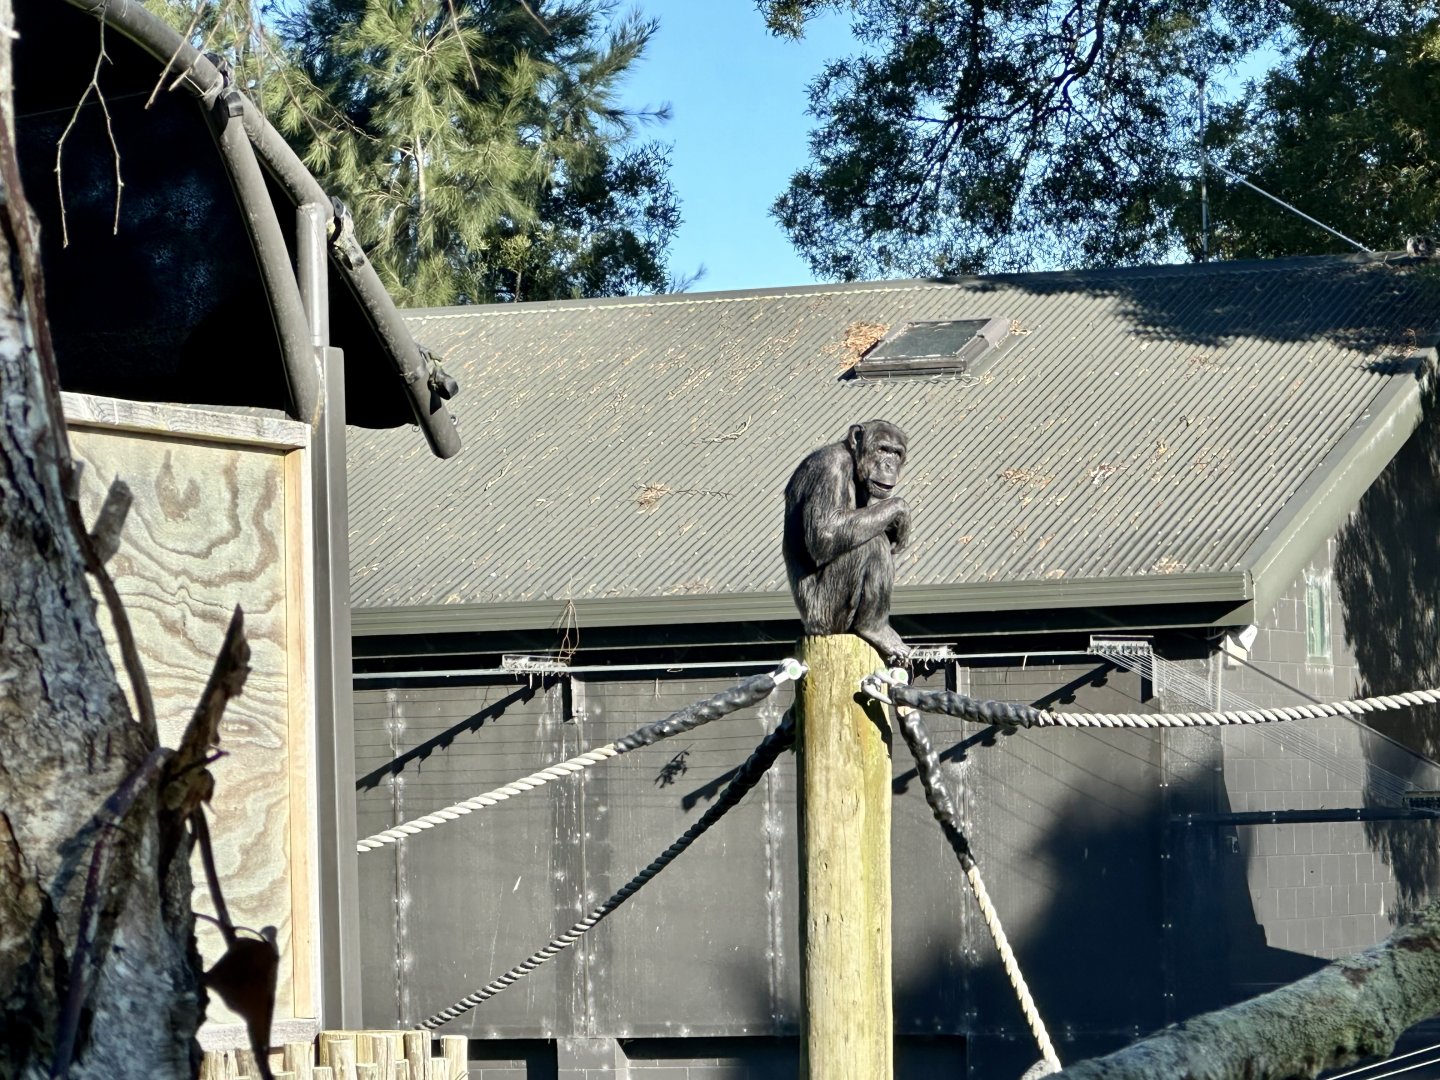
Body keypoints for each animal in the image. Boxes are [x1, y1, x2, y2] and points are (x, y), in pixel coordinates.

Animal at [783, 419, 912, 662]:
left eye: (896, 453)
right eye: (882, 449)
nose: (889, 465)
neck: (852, 463)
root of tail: (810, 627)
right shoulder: (830, 468)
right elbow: (825, 532)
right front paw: (900, 510)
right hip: (827, 613)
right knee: (870, 544)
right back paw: (874, 628)